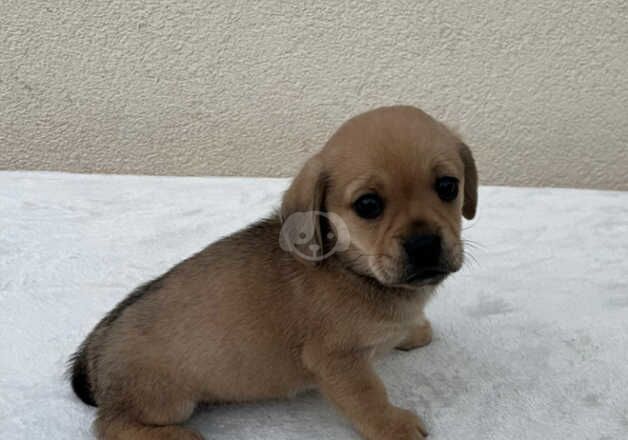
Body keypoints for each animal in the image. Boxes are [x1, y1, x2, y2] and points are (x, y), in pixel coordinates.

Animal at [70, 105, 476, 438]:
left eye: (448, 186)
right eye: (368, 205)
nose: (424, 245)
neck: (350, 268)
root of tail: (98, 347)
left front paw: (412, 331)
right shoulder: (338, 361)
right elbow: (370, 399)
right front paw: (395, 426)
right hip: (167, 401)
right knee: (110, 425)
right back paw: (177, 436)